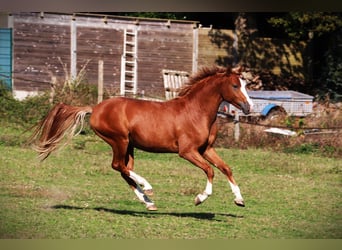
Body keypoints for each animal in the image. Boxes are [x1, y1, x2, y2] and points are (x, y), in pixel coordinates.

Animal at [30, 65, 254, 210]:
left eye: (244, 85)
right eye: (235, 86)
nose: (249, 107)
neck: (195, 111)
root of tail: (95, 108)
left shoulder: (206, 149)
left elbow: (226, 168)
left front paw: (239, 200)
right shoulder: (187, 151)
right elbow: (210, 170)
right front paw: (200, 198)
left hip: (129, 145)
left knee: (124, 170)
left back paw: (148, 201)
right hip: (119, 140)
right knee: (118, 166)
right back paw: (148, 188)